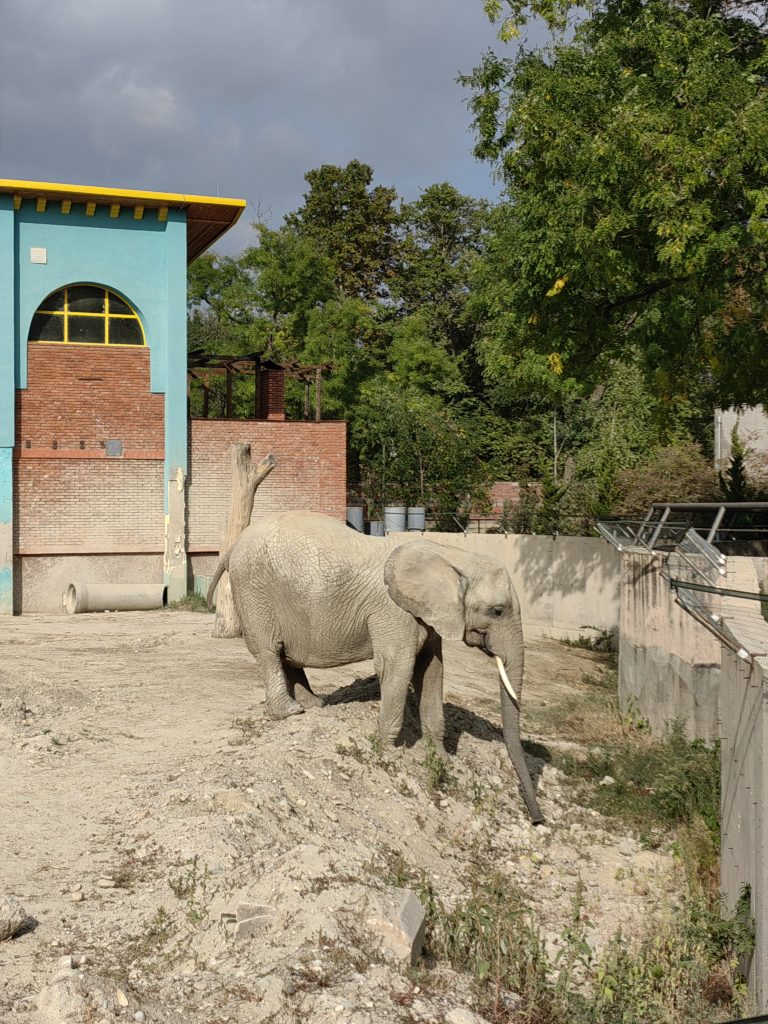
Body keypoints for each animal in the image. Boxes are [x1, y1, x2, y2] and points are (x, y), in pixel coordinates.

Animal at [207, 512, 544, 823]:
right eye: (497, 611)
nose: (537, 819)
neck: (449, 555)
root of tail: (235, 544)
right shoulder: (393, 611)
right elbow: (398, 665)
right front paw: (387, 752)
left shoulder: (427, 614)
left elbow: (432, 671)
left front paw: (442, 759)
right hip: (255, 591)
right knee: (269, 651)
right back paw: (289, 712)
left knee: (286, 654)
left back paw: (315, 706)